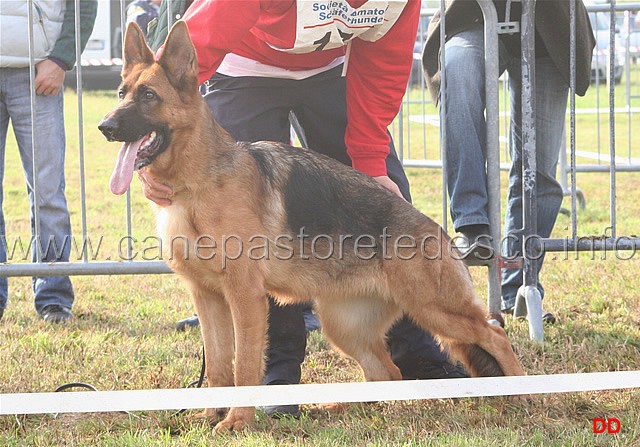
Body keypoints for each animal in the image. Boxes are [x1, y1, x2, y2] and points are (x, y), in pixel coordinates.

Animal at [97, 22, 524, 432]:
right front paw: (210, 415)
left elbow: (245, 364)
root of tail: (436, 230)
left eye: (148, 95)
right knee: (387, 372)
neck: (197, 182)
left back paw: (523, 393)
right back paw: (345, 407)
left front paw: (237, 420)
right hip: (344, 326)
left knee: (494, 333)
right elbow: (218, 367)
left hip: (435, 308)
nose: (105, 126)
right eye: (120, 93)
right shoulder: (207, 298)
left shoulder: (245, 297)